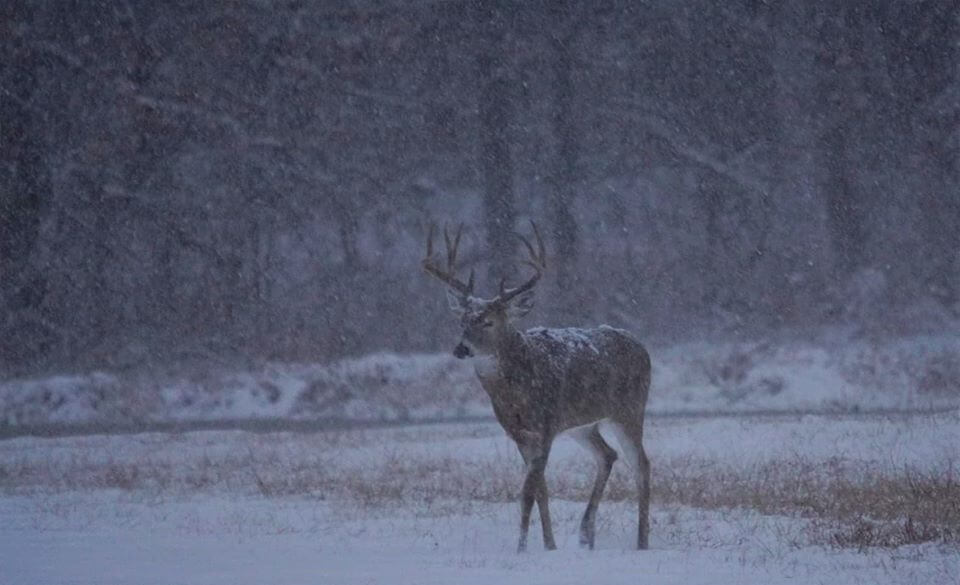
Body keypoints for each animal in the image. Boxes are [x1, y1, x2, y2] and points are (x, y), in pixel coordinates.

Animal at [422, 220, 652, 552]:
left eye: (489, 321)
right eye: (462, 321)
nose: (461, 348)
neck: (518, 395)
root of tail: (642, 347)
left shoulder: (545, 425)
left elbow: (528, 491)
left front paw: (521, 549)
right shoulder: (519, 433)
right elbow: (540, 488)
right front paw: (549, 546)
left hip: (629, 410)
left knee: (641, 465)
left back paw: (641, 543)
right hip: (583, 424)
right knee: (607, 455)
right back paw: (586, 534)